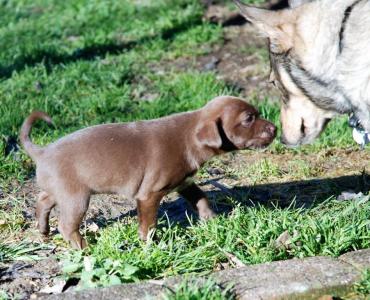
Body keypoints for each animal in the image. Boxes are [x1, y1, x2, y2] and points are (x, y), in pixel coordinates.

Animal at [19, 96, 274, 248]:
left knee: (43, 201)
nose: (274, 127)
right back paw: (85, 248)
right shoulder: (149, 195)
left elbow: (201, 198)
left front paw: (212, 220)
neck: (190, 136)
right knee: (66, 225)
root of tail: (41, 152)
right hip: (76, 198)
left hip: (60, 191)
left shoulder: (185, 183)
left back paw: (43, 230)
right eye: (249, 119)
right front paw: (149, 244)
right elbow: (148, 224)